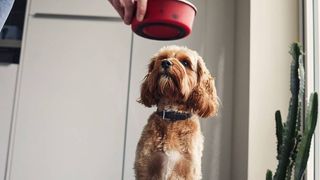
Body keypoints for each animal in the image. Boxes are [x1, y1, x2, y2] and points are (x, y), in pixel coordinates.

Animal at [134, 45, 219, 179]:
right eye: (162, 57)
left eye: (185, 63)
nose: (165, 62)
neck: (172, 115)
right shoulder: (145, 166)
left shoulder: (189, 169)